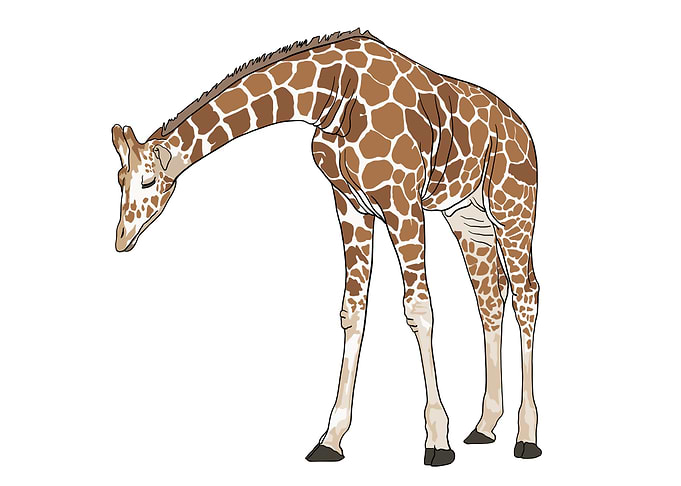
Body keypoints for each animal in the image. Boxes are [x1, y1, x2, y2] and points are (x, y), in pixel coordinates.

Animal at [113, 29, 542, 464]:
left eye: (147, 181)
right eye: (119, 179)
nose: (121, 239)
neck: (331, 97)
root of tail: (522, 128)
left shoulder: (402, 201)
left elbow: (419, 309)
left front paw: (437, 440)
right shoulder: (351, 204)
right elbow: (353, 313)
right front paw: (331, 439)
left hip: (512, 208)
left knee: (526, 293)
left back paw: (526, 437)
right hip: (466, 214)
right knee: (490, 297)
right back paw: (485, 426)